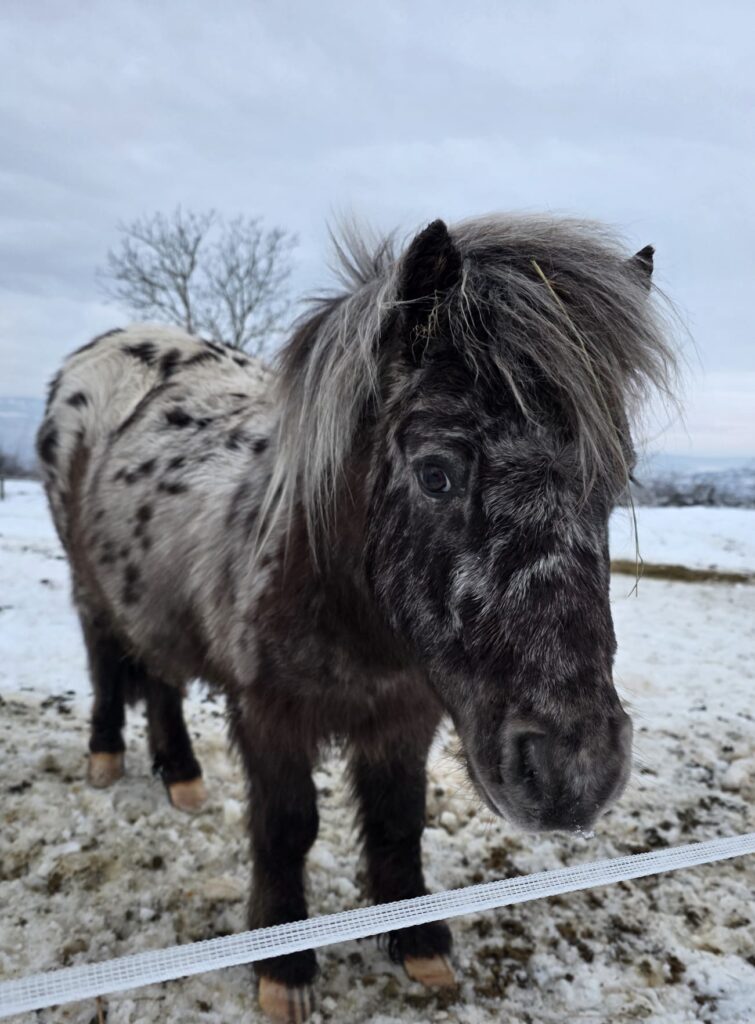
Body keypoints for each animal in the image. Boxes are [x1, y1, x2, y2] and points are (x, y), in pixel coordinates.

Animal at [37, 214, 675, 1022]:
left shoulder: (405, 716)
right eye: (435, 473)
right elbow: (286, 829)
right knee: (105, 660)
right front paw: (284, 964)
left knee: (160, 677)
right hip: (91, 587)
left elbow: (399, 822)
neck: (354, 620)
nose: (575, 772)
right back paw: (106, 756)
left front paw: (418, 943)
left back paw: (182, 776)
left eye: (615, 481)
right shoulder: (269, 716)